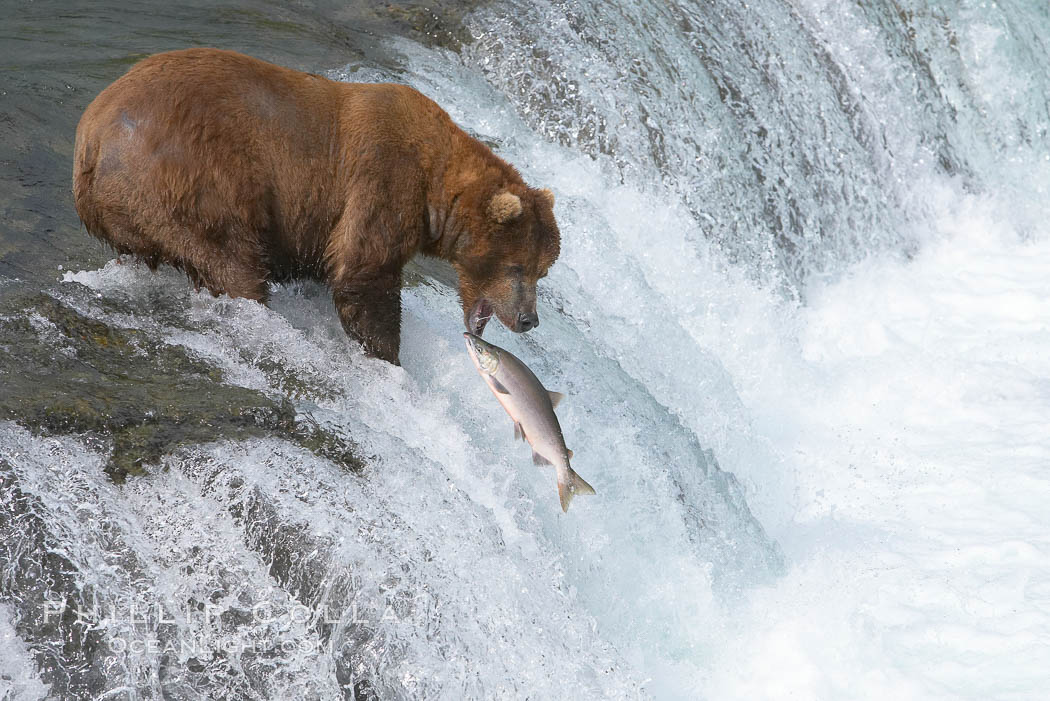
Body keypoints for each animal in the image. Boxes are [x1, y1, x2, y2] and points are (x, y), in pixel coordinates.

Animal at [74, 48, 562, 367]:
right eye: (518, 267)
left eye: (542, 270)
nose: (529, 319)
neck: (436, 189)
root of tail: (92, 134)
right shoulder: (382, 179)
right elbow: (363, 275)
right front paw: (388, 357)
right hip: (190, 178)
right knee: (232, 261)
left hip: (129, 208)